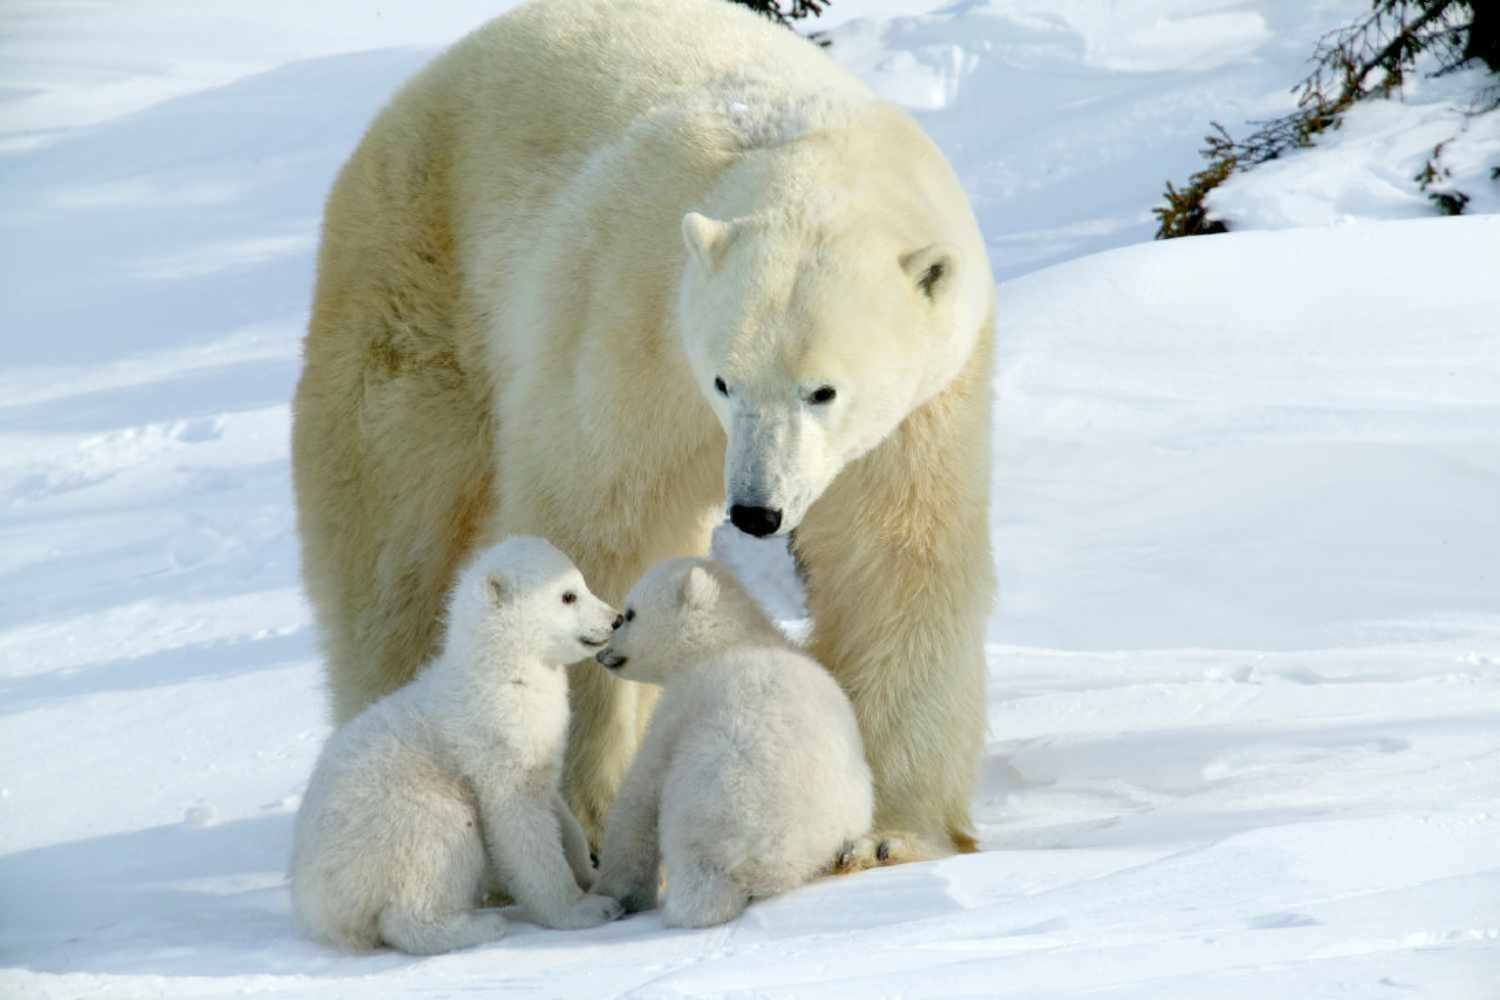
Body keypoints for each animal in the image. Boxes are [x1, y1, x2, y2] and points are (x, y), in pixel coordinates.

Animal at [288, 536, 624, 954]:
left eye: (581, 583)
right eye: (568, 595)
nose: (616, 618)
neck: (502, 673)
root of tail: (318, 909)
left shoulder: (539, 744)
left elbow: (557, 809)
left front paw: (590, 871)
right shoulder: (494, 741)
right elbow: (520, 825)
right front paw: (585, 909)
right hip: (398, 820)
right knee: (435, 851)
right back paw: (478, 926)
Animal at [291, 0, 996, 862]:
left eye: (822, 391)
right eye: (725, 380)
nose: (756, 511)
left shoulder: (924, 405)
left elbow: (895, 558)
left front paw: (892, 832)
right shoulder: (631, 323)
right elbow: (597, 527)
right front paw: (589, 812)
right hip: (416, 280)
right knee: (394, 542)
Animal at [590, 557, 874, 926]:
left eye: (629, 613)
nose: (602, 653)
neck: (731, 639)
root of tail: (767, 866)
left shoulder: (684, 703)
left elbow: (640, 794)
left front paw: (615, 892)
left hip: (711, 802)